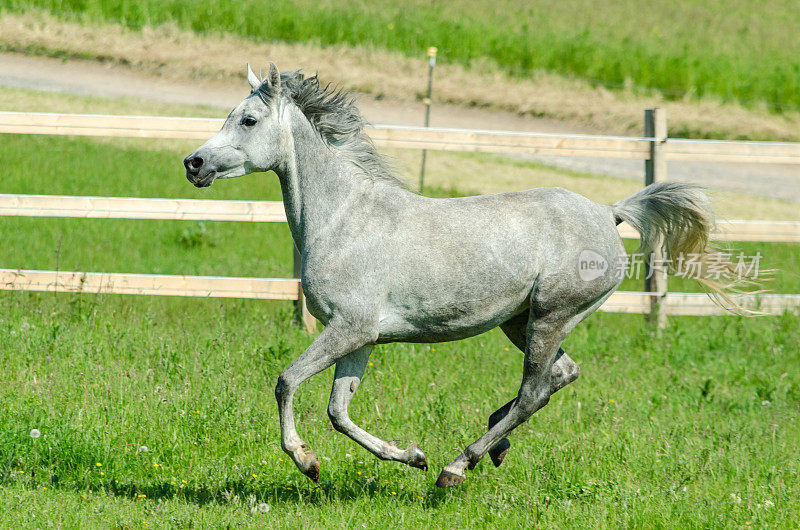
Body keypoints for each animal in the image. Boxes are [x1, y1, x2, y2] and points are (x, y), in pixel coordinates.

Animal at [184, 64, 736, 484]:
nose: (194, 163)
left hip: (551, 316)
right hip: (521, 321)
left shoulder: (349, 328)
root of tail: (608, 212)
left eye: (248, 120)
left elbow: (286, 381)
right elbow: (339, 412)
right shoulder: (360, 338)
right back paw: (490, 447)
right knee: (560, 376)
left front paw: (307, 462)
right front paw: (409, 455)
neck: (344, 217)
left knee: (535, 390)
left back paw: (457, 466)